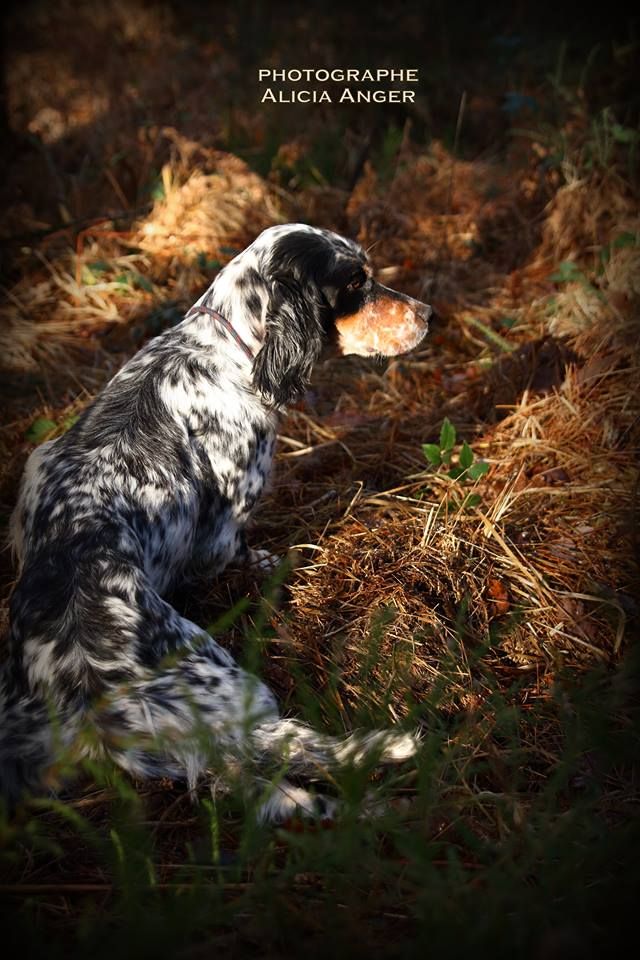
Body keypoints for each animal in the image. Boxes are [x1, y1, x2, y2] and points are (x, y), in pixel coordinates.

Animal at [2, 223, 432, 816]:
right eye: (354, 282)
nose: (428, 313)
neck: (224, 350)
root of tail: (88, 704)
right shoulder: (227, 520)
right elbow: (239, 548)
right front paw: (271, 562)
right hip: (226, 682)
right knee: (290, 747)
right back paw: (391, 753)